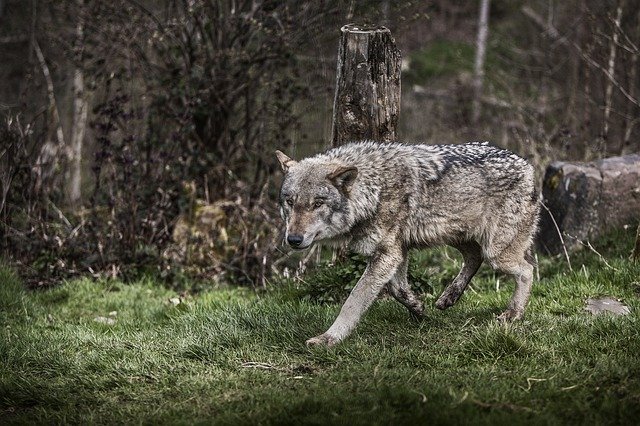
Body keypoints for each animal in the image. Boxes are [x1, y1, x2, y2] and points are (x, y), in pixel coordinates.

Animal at [276, 141, 540, 348]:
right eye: (290, 202)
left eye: (318, 203)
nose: (293, 239)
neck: (374, 188)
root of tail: (528, 165)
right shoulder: (397, 251)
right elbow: (398, 290)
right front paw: (418, 308)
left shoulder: (387, 254)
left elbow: (353, 301)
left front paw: (329, 338)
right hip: (457, 237)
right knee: (475, 257)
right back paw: (449, 297)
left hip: (496, 253)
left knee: (527, 269)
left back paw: (513, 314)